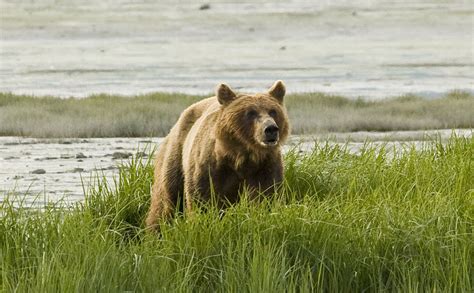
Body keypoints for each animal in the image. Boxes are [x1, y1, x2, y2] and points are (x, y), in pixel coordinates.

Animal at [146, 81, 290, 229]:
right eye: (251, 112)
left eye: (273, 111)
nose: (271, 129)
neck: (241, 155)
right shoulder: (210, 166)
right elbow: (202, 198)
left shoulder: (265, 166)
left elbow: (266, 196)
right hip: (176, 153)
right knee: (167, 197)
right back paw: (155, 227)